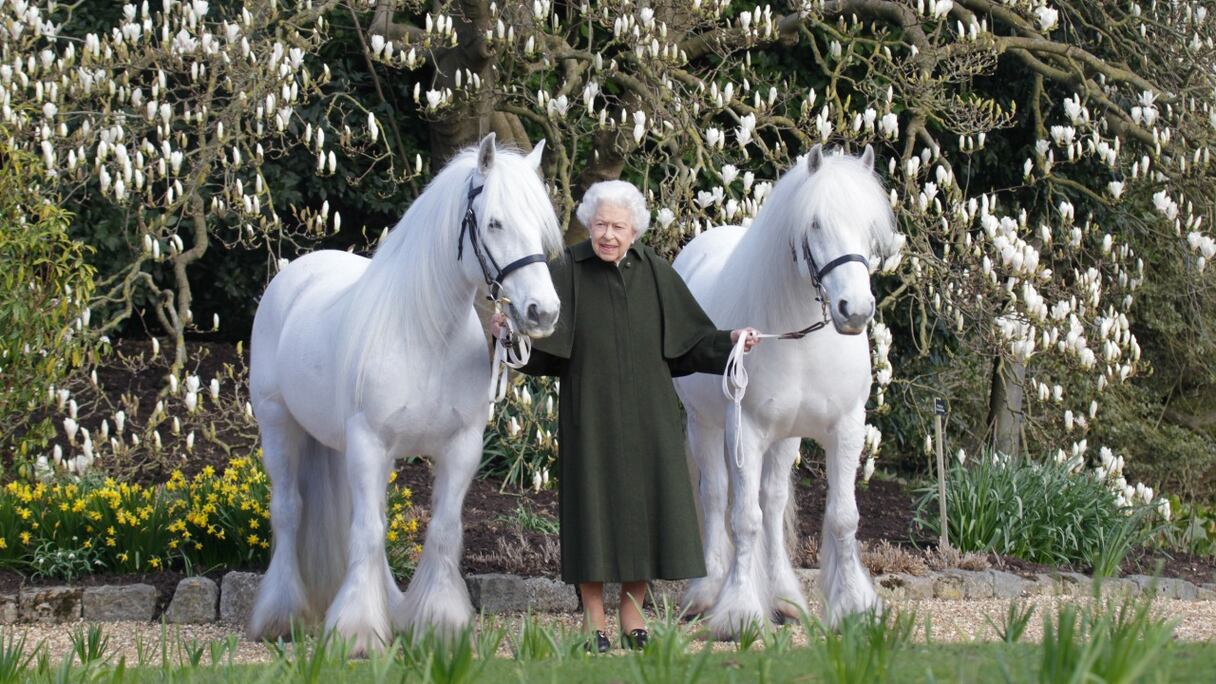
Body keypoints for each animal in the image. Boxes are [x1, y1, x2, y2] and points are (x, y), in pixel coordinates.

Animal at [250, 133, 564, 647]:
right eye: (494, 222)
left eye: (540, 227)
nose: (543, 312)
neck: (425, 335)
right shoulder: (369, 443)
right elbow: (367, 532)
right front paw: (357, 631)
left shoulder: (461, 447)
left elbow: (440, 530)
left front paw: (439, 622)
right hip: (278, 424)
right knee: (289, 511)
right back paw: (282, 615)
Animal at [676, 142, 904, 632]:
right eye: (815, 223)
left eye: (868, 227)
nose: (855, 310)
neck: (801, 339)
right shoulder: (745, 430)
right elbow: (744, 518)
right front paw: (739, 611)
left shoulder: (846, 429)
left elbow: (842, 517)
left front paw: (854, 606)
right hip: (705, 425)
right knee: (716, 495)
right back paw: (707, 592)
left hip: (786, 437)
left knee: (774, 500)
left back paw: (784, 598)